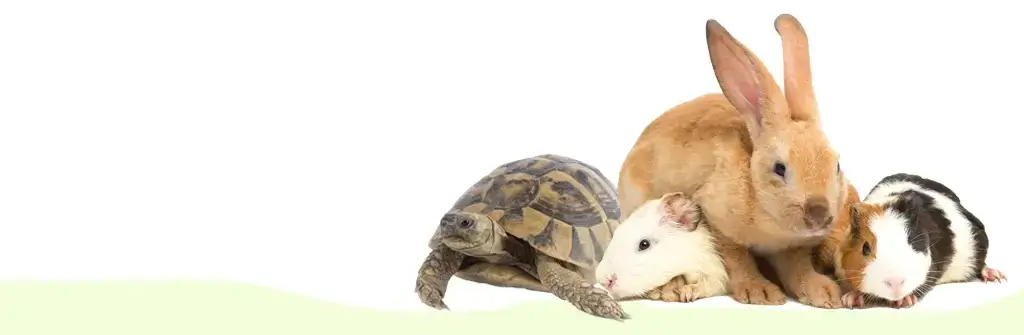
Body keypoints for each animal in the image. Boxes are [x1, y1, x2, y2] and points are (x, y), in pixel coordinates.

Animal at [614, 15, 856, 309]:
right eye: (780, 168)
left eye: (837, 166)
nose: (819, 214)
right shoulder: (717, 223)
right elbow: (738, 260)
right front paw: (760, 292)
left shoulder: (793, 248)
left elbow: (797, 267)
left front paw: (823, 293)